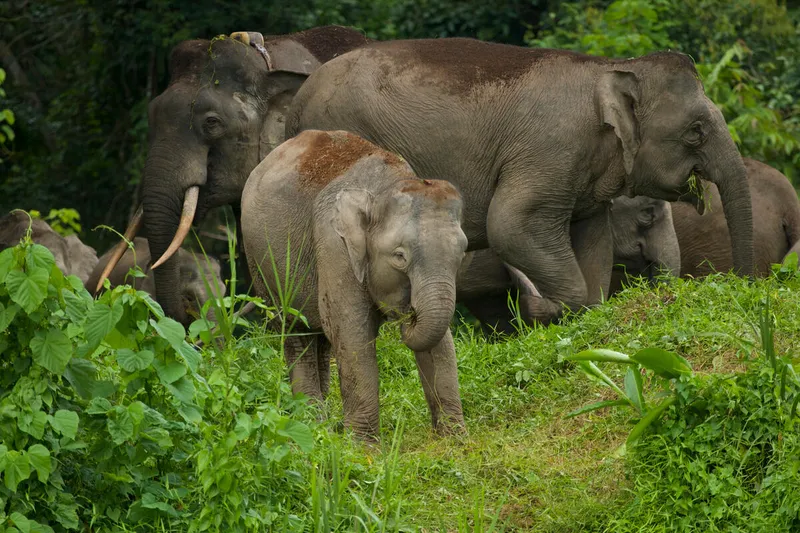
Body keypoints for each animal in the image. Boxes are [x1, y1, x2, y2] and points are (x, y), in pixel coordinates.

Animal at [241, 130, 469, 440]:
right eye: (399, 257)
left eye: (462, 253)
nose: (408, 314)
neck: (387, 186)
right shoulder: (334, 246)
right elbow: (351, 333)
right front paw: (362, 446)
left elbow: (440, 341)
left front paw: (455, 439)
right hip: (259, 260)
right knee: (296, 330)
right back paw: (311, 424)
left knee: (320, 336)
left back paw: (325, 427)